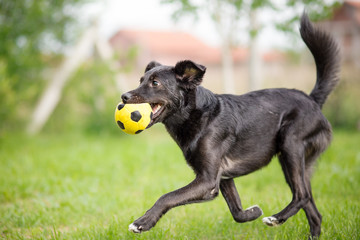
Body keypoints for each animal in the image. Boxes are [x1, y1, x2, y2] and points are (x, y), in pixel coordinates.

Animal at [122, 14, 338, 239]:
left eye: (155, 83)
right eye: (141, 80)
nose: (124, 97)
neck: (199, 116)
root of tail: (313, 100)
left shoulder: (207, 179)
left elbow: (167, 197)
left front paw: (142, 222)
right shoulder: (221, 180)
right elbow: (237, 212)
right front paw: (253, 212)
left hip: (291, 145)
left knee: (301, 195)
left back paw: (276, 218)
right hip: (296, 163)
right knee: (313, 209)